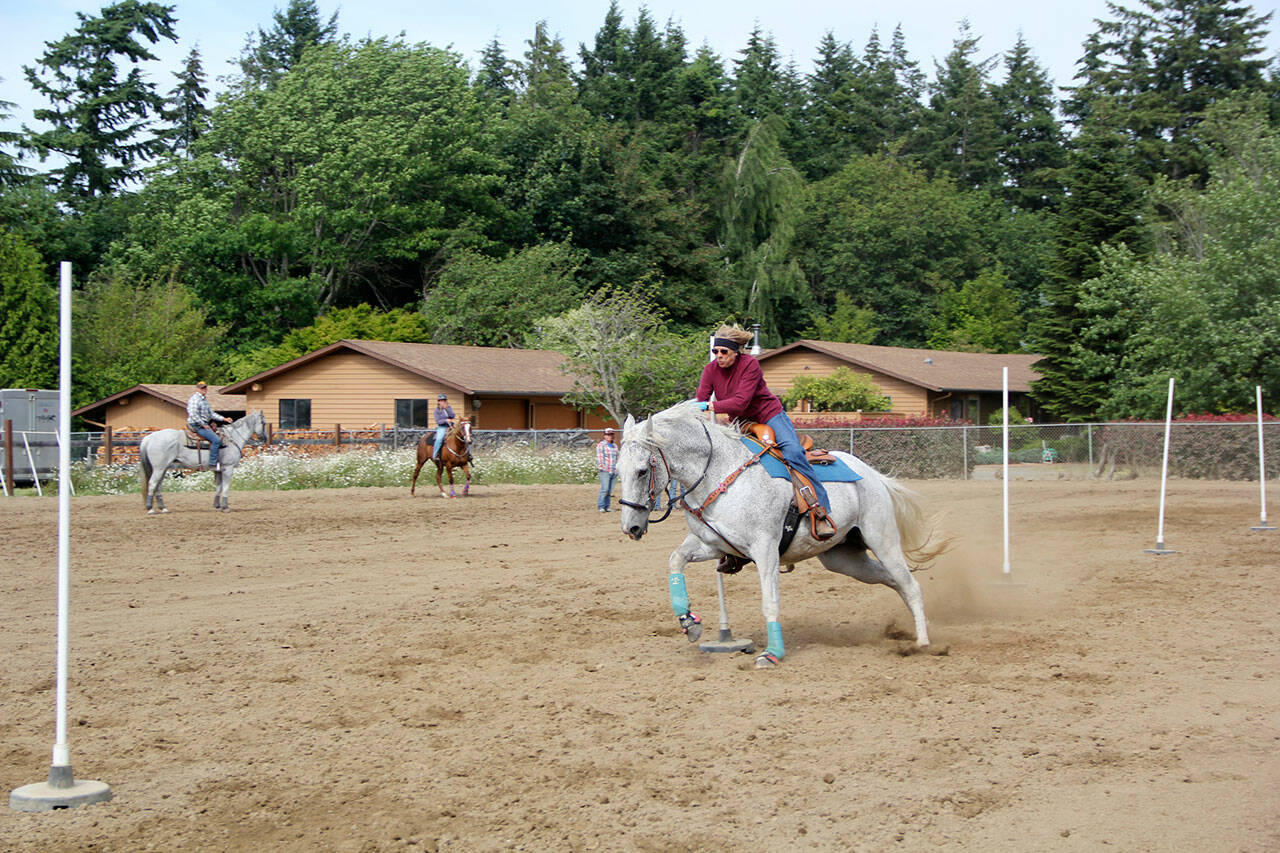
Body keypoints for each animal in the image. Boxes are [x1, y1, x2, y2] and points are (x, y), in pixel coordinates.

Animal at [138, 409, 266, 514]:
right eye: (264, 423)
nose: (264, 438)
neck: (233, 438)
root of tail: (149, 437)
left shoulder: (219, 469)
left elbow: (219, 487)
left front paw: (217, 506)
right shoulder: (228, 468)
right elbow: (225, 487)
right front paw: (225, 507)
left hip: (163, 468)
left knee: (158, 485)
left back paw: (163, 508)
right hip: (159, 468)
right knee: (152, 483)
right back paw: (150, 508)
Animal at [614, 402, 947, 666]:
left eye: (642, 470)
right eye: (617, 470)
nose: (631, 527)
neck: (720, 473)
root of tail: (873, 475)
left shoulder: (765, 549)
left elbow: (769, 601)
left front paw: (773, 652)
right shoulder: (713, 545)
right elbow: (675, 560)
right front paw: (688, 621)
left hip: (883, 540)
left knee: (910, 584)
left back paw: (923, 642)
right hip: (845, 559)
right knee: (894, 581)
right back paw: (917, 628)